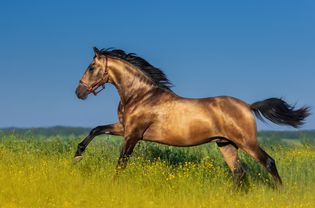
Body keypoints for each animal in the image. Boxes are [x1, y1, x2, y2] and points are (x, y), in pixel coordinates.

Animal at [74, 47, 312, 187]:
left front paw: (112, 184)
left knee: (268, 163)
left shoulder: (132, 134)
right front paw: (77, 156)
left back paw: (280, 192)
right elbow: (96, 129)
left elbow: (121, 162)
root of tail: (248, 106)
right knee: (239, 173)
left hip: (247, 142)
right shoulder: (124, 128)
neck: (140, 95)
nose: (79, 92)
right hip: (225, 144)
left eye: (92, 67)